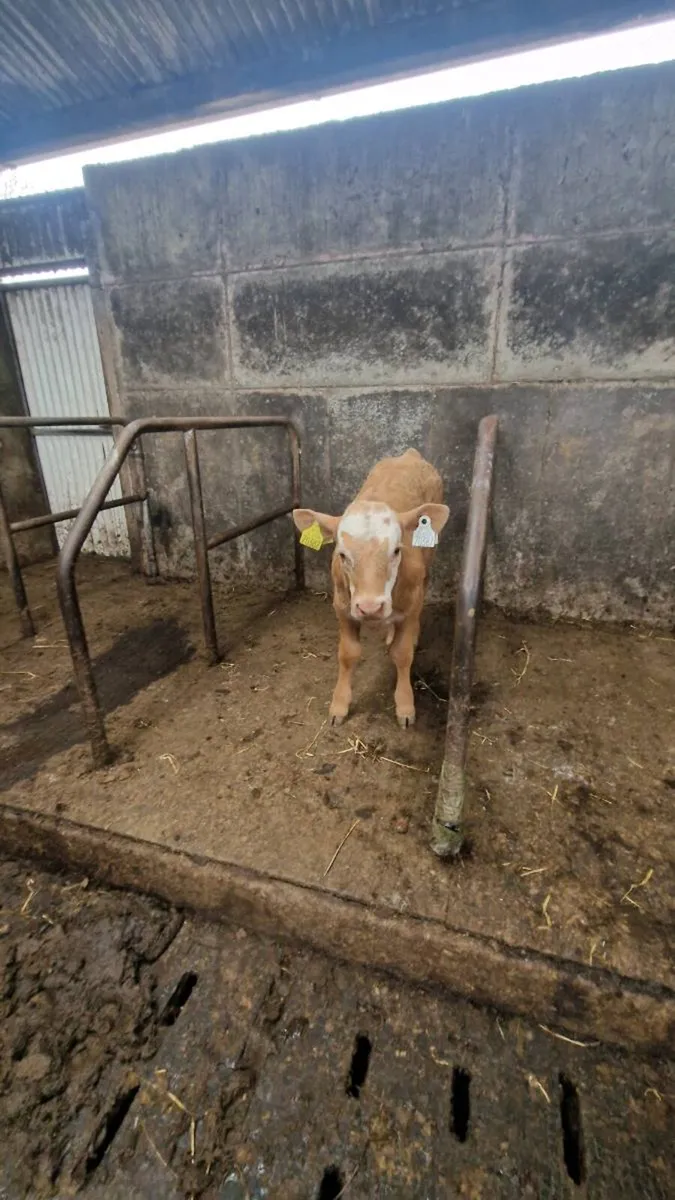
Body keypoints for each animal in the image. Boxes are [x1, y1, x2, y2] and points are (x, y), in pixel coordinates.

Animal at [293, 449, 449, 728]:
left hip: (430, 554)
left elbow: (402, 653)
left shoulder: (411, 603)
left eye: (396, 550)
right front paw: (339, 705)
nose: (370, 607)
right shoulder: (342, 607)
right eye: (342, 555)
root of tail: (409, 454)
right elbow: (348, 654)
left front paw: (405, 705)